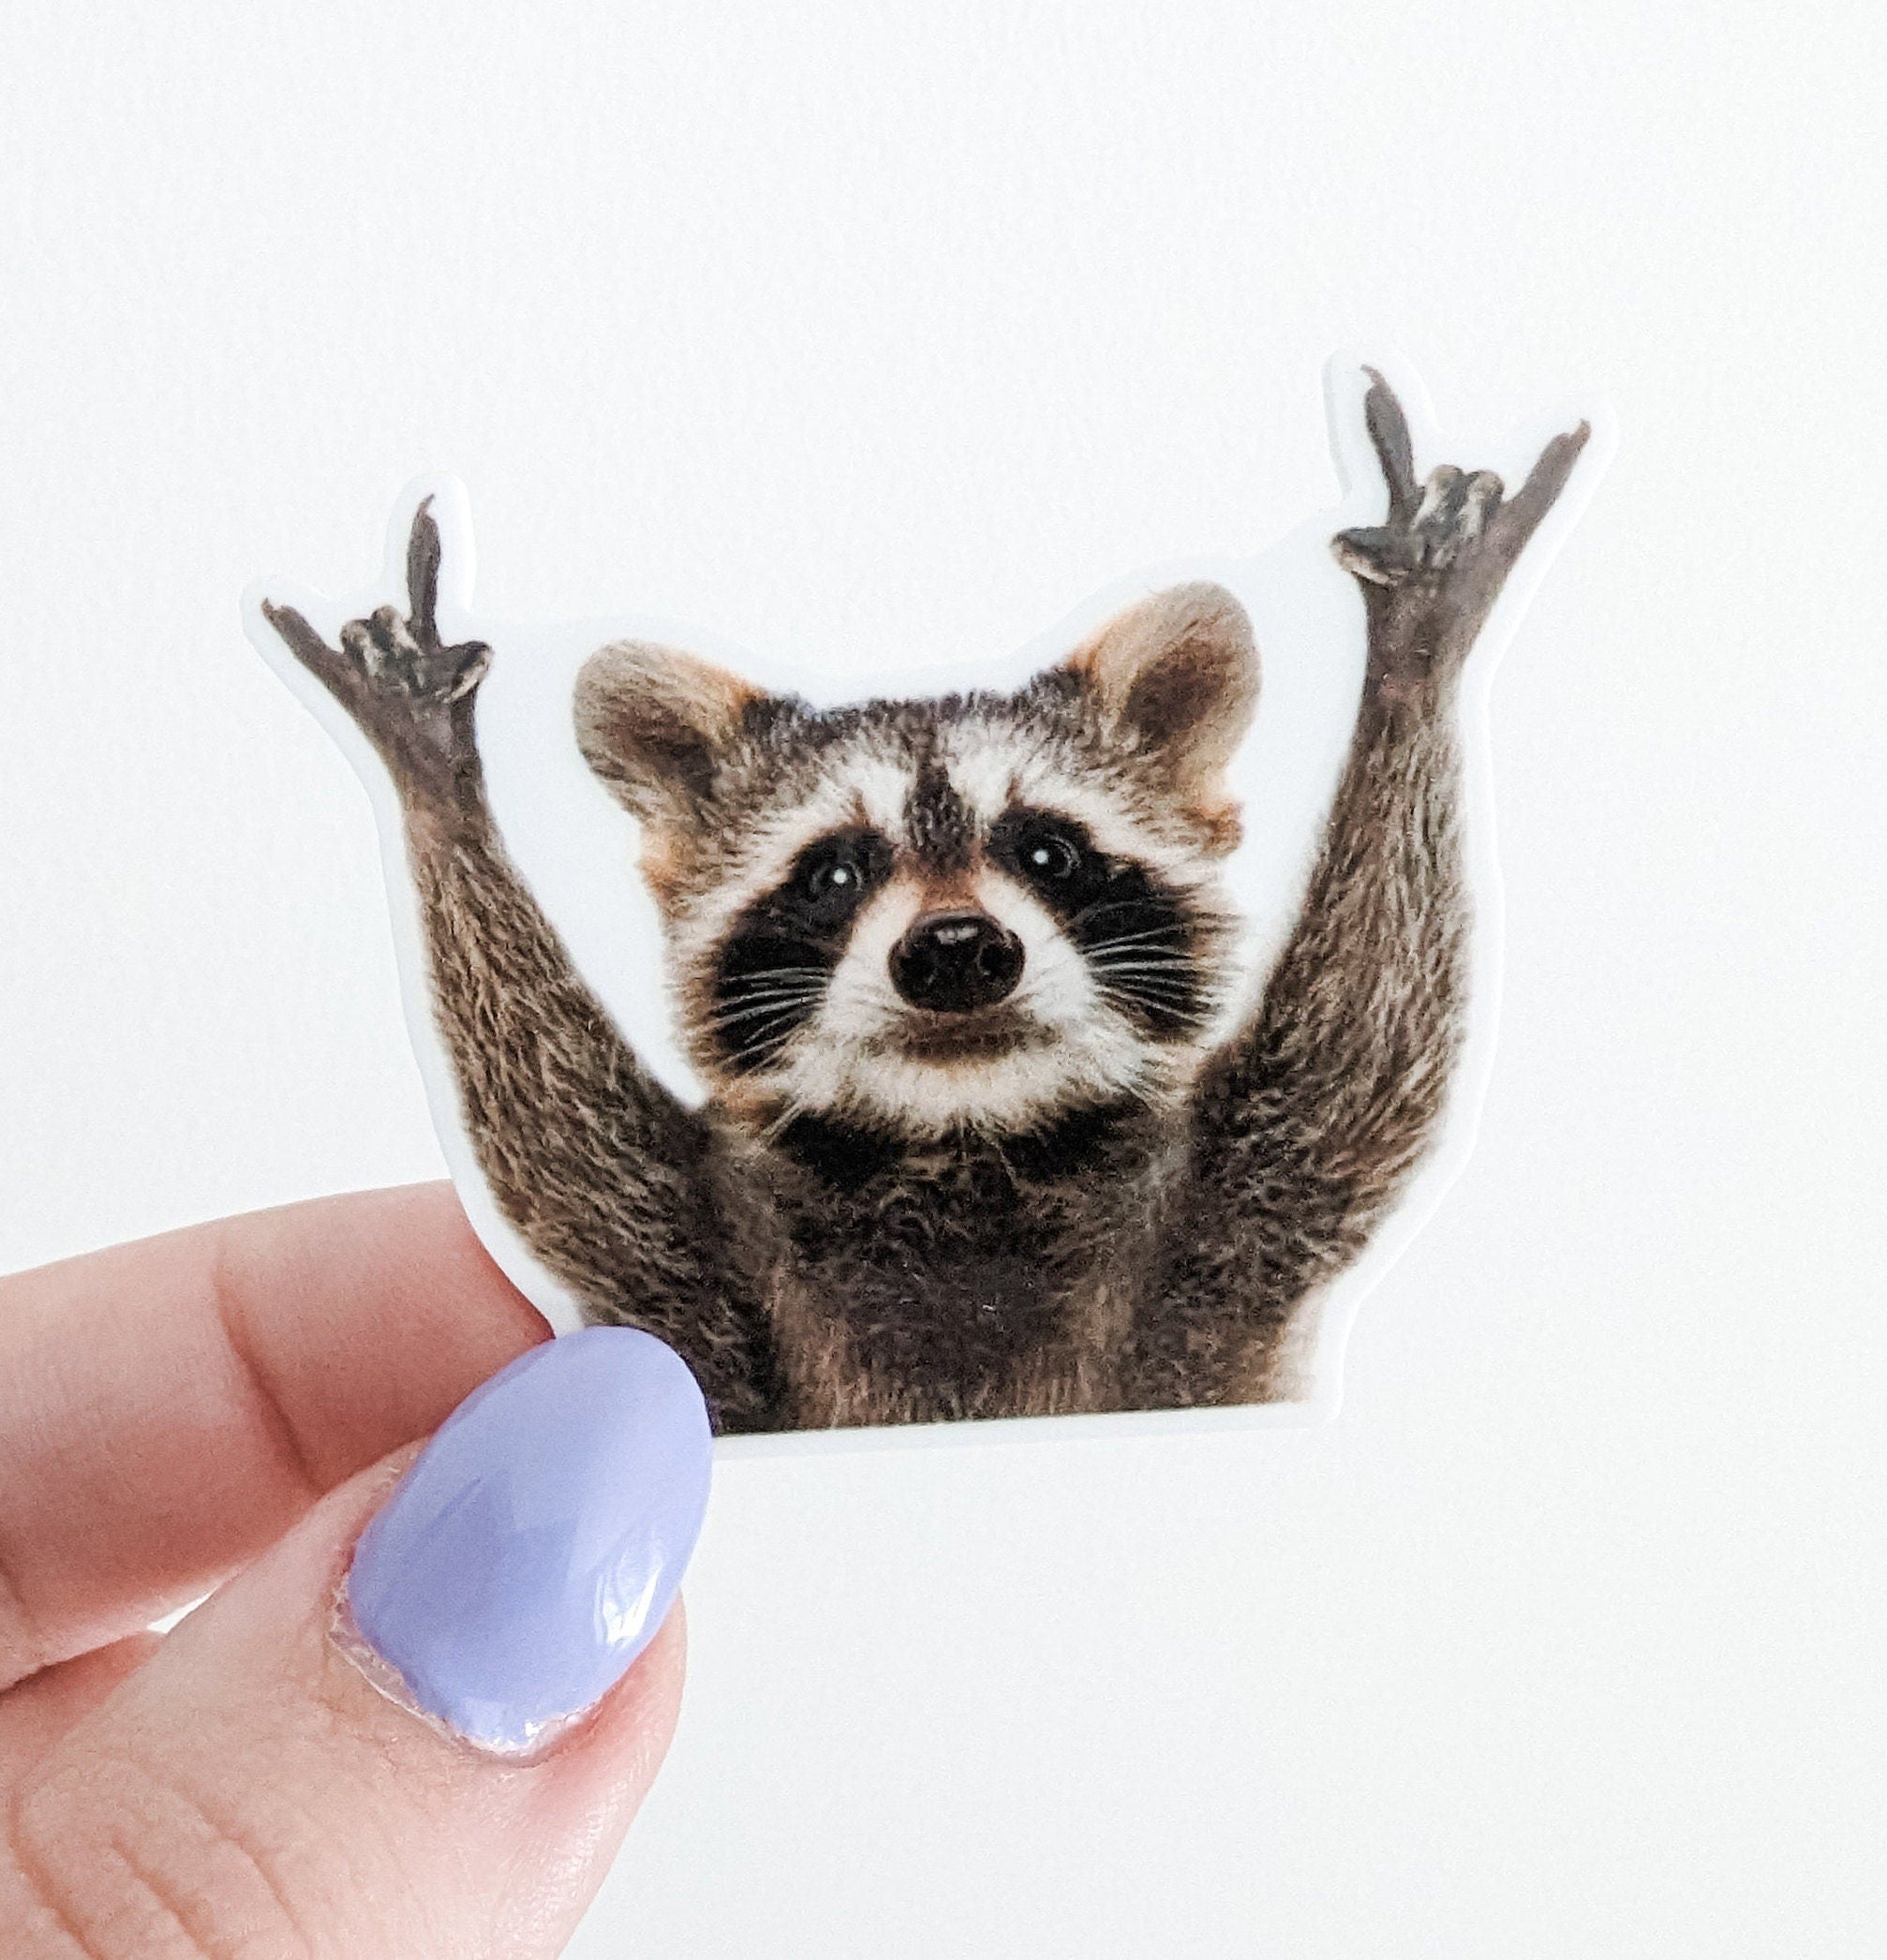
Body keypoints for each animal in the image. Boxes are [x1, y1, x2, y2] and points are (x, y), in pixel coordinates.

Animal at [264, 376, 1587, 1433]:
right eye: (835, 873)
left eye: (1048, 851)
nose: (956, 950)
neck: (962, 1141)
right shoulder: (693, 1267)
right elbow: (555, 1137)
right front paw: (437, 783)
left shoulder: (1230, 1227)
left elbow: (1367, 1043)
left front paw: (1414, 653)